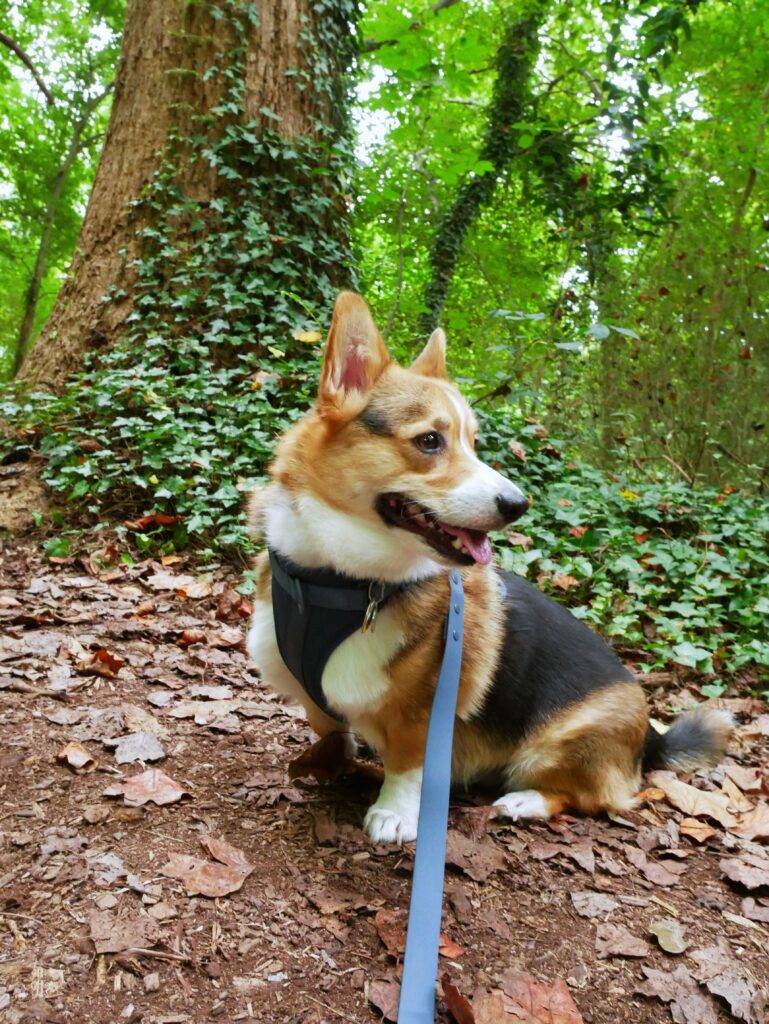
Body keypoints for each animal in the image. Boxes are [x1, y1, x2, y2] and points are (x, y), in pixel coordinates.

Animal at [247, 292, 733, 843]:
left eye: (473, 443)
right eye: (430, 441)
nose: (518, 505)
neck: (338, 579)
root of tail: (651, 738)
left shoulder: (421, 711)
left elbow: (408, 765)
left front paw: (394, 812)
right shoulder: (314, 697)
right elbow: (331, 731)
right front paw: (330, 767)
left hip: (555, 746)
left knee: (590, 797)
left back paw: (524, 801)